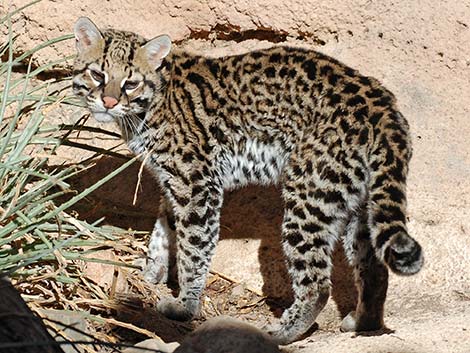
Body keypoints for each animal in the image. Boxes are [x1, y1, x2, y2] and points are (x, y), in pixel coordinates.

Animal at [72, 17, 422, 344]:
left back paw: (282, 332)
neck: (154, 100)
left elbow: (193, 247)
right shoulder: (175, 184)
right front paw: (150, 274)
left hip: (308, 196)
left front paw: (185, 305)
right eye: (97, 75)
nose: (109, 102)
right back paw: (364, 322)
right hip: (358, 204)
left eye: (130, 83)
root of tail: (383, 106)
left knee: (318, 283)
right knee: (374, 270)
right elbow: (163, 231)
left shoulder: (197, 184)